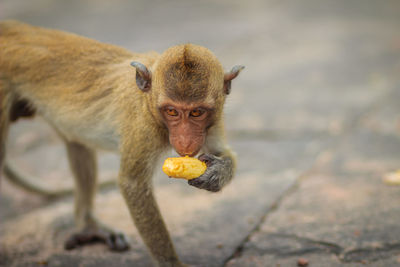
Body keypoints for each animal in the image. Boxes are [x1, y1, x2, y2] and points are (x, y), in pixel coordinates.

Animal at [0, 21, 244, 267]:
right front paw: (171, 263)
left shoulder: (214, 120)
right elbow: (132, 184)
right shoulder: (144, 127)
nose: (185, 141)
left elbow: (222, 151)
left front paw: (217, 173)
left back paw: (88, 227)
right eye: (172, 111)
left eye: (196, 112)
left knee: (77, 143)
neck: (149, 100)